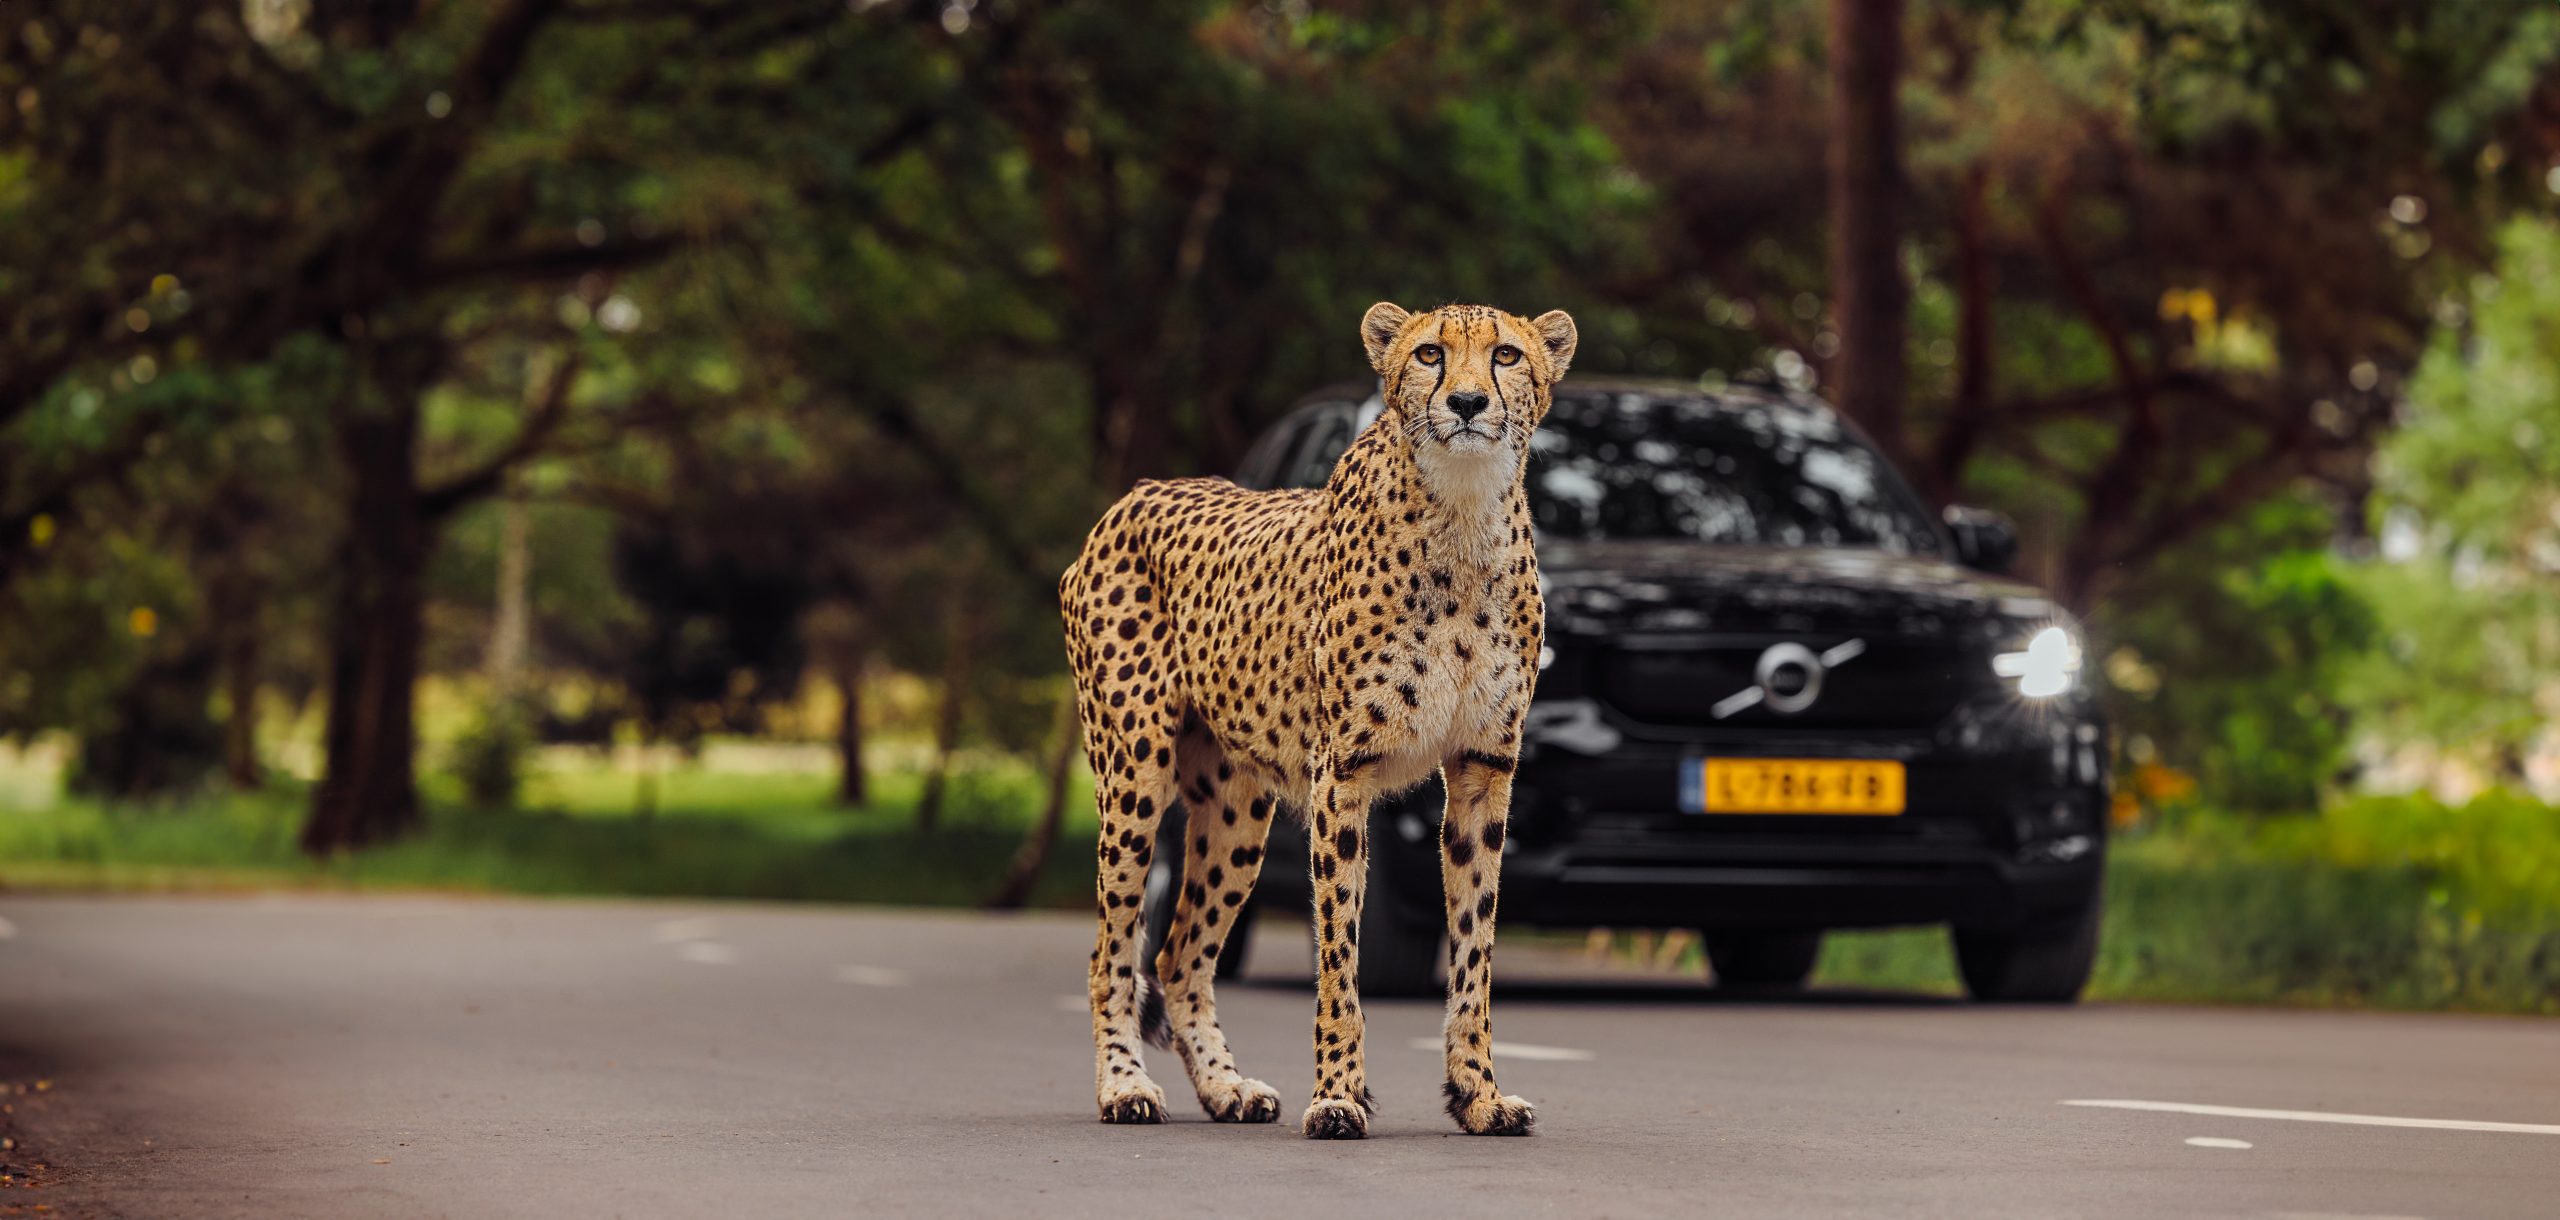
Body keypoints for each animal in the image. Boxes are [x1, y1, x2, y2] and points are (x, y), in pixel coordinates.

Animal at [1049, 299, 1566, 1135]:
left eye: (1507, 356)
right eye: (1430, 354)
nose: (1465, 403)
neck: (1462, 513)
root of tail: (1137, 492)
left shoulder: (1483, 771)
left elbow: (1473, 951)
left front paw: (1479, 1095)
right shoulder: (1342, 776)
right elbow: (1338, 958)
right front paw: (1339, 1095)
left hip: (1236, 812)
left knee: (1180, 955)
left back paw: (1227, 1088)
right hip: (1134, 778)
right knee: (1114, 955)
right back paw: (1124, 1088)